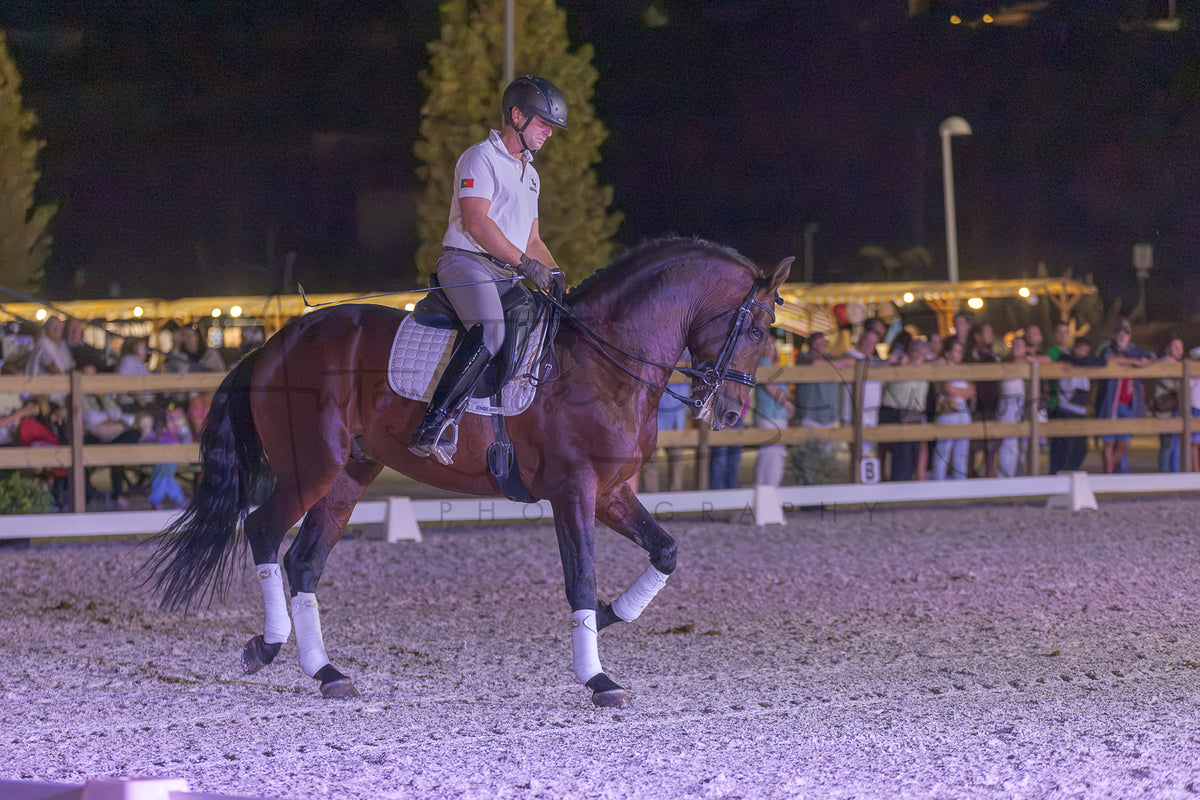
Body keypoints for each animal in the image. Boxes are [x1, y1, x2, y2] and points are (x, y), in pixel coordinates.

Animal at [145, 237, 792, 708]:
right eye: (758, 330)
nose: (730, 413)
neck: (604, 359)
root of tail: (275, 343)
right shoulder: (573, 490)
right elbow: (580, 577)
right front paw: (597, 678)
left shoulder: (610, 491)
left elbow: (666, 551)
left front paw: (610, 619)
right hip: (313, 467)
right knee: (262, 531)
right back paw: (266, 647)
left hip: (351, 472)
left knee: (305, 561)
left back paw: (327, 673)